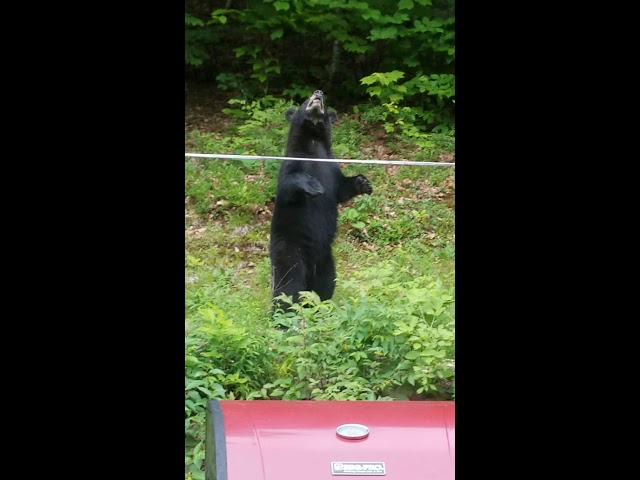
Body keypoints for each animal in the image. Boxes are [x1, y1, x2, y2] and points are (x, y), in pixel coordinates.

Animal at [269, 90, 372, 310]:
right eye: (304, 100)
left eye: (324, 102)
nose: (318, 92)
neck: (313, 143)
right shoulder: (291, 163)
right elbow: (289, 184)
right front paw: (313, 185)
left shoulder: (332, 169)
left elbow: (341, 189)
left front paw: (364, 183)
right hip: (290, 251)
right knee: (288, 285)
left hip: (326, 259)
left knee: (325, 284)